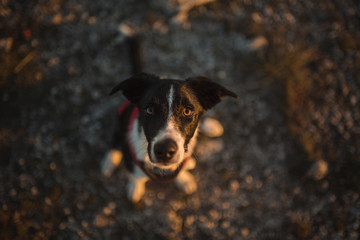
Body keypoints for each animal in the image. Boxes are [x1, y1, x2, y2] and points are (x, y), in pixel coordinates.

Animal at [101, 71, 239, 202]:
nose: (165, 151)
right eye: (149, 110)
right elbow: (136, 176)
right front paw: (135, 187)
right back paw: (109, 163)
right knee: (115, 141)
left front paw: (184, 179)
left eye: (187, 111)